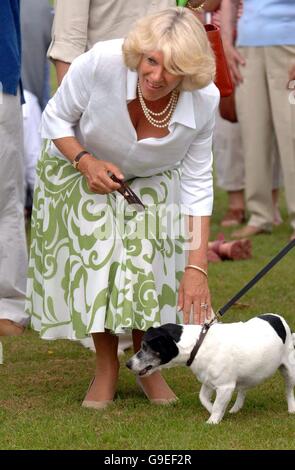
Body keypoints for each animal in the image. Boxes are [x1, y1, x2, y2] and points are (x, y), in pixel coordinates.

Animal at [127, 314, 295, 424]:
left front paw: (212, 421)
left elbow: (217, 405)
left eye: (145, 347)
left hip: (289, 371)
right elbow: (203, 398)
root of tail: (280, 319)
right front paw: (218, 413)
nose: (128, 364)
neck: (197, 344)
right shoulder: (208, 381)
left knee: (288, 391)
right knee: (243, 390)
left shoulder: (225, 386)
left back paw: (291, 409)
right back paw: (235, 408)